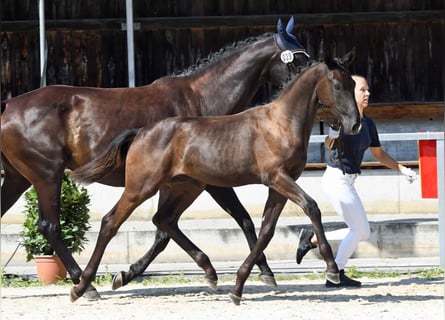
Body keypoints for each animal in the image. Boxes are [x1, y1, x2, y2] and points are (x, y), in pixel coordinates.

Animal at [0, 16, 306, 298]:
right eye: (299, 59)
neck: (201, 99)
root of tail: (10, 104)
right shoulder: (202, 181)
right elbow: (178, 229)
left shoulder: (189, 181)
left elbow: (181, 228)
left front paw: (126, 274)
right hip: (47, 175)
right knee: (50, 226)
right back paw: (85, 286)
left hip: (17, 178)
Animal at [70, 49, 360, 302]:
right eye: (337, 85)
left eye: (353, 84)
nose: (355, 124)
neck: (280, 123)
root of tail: (141, 132)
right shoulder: (276, 177)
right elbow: (311, 207)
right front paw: (332, 270)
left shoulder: (279, 185)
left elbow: (266, 230)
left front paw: (239, 287)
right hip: (141, 187)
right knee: (111, 222)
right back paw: (82, 287)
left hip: (186, 187)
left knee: (164, 220)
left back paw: (200, 272)